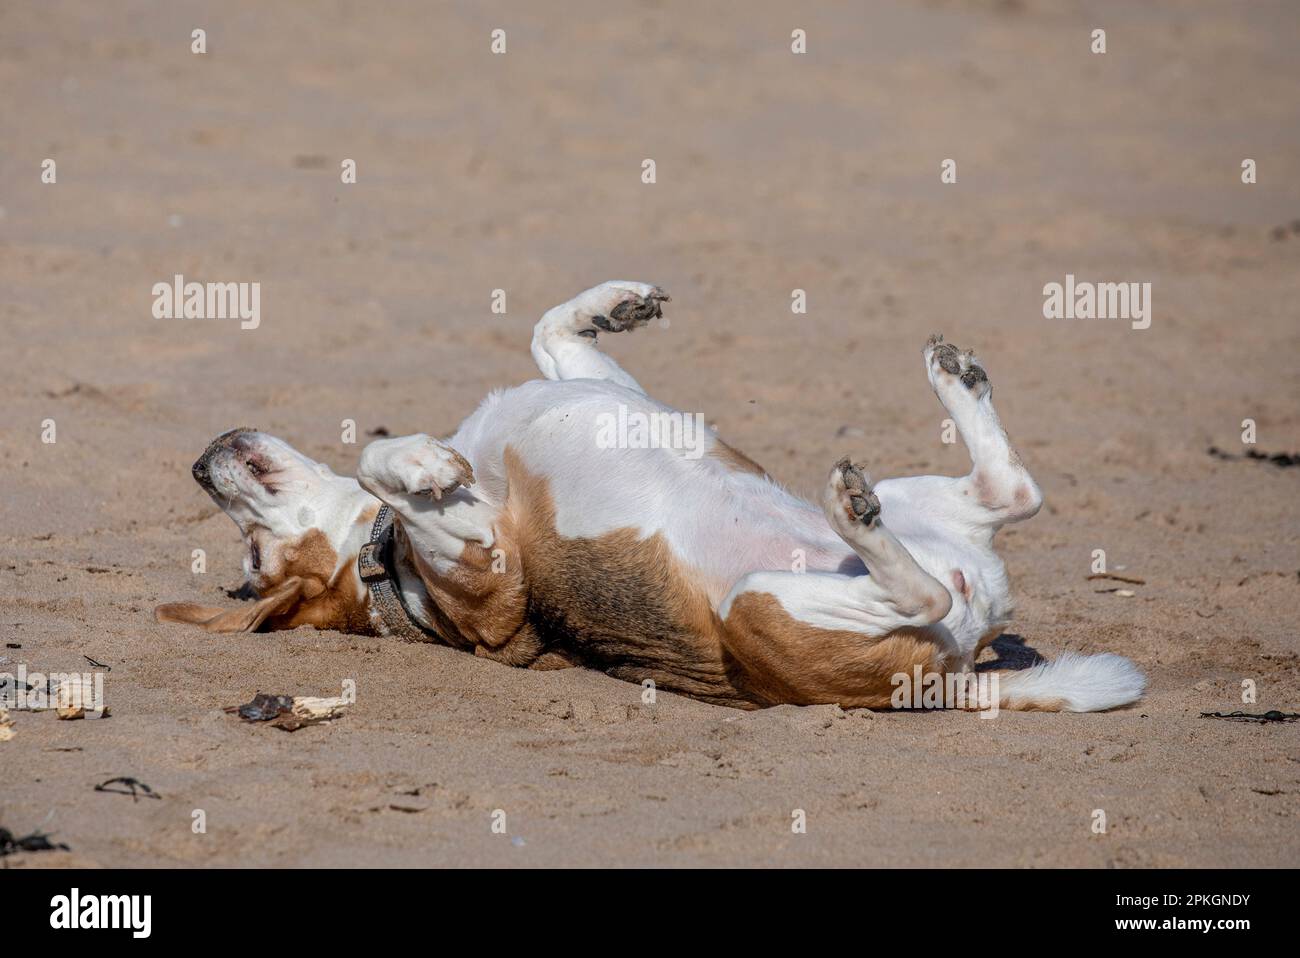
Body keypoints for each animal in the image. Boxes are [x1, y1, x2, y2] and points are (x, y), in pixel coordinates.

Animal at [157, 278, 1144, 712]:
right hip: (768, 604)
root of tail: (957, 665)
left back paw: (953, 381)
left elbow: (549, 331)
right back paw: (851, 509)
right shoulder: (492, 577)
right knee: (931, 580)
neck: (381, 565)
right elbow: (384, 466)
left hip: (918, 509)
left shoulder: (606, 388)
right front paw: (426, 466)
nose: (200, 462)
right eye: (257, 559)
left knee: (1010, 491)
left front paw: (614, 302)